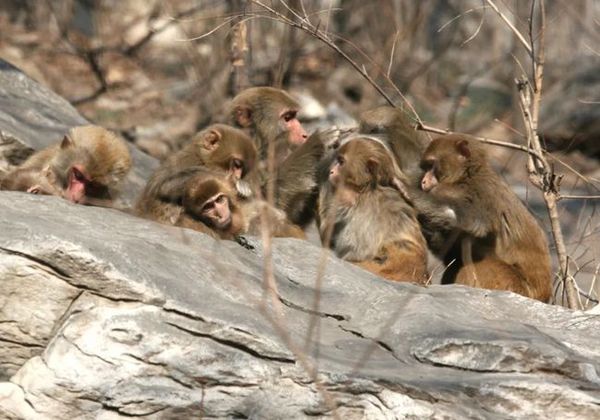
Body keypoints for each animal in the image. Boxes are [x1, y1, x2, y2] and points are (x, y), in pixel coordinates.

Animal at [420, 135, 552, 302]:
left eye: (431, 165)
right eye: (425, 167)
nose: (423, 181)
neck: (468, 174)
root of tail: (544, 296)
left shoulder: (466, 193)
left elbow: (475, 226)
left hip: (510, 284)